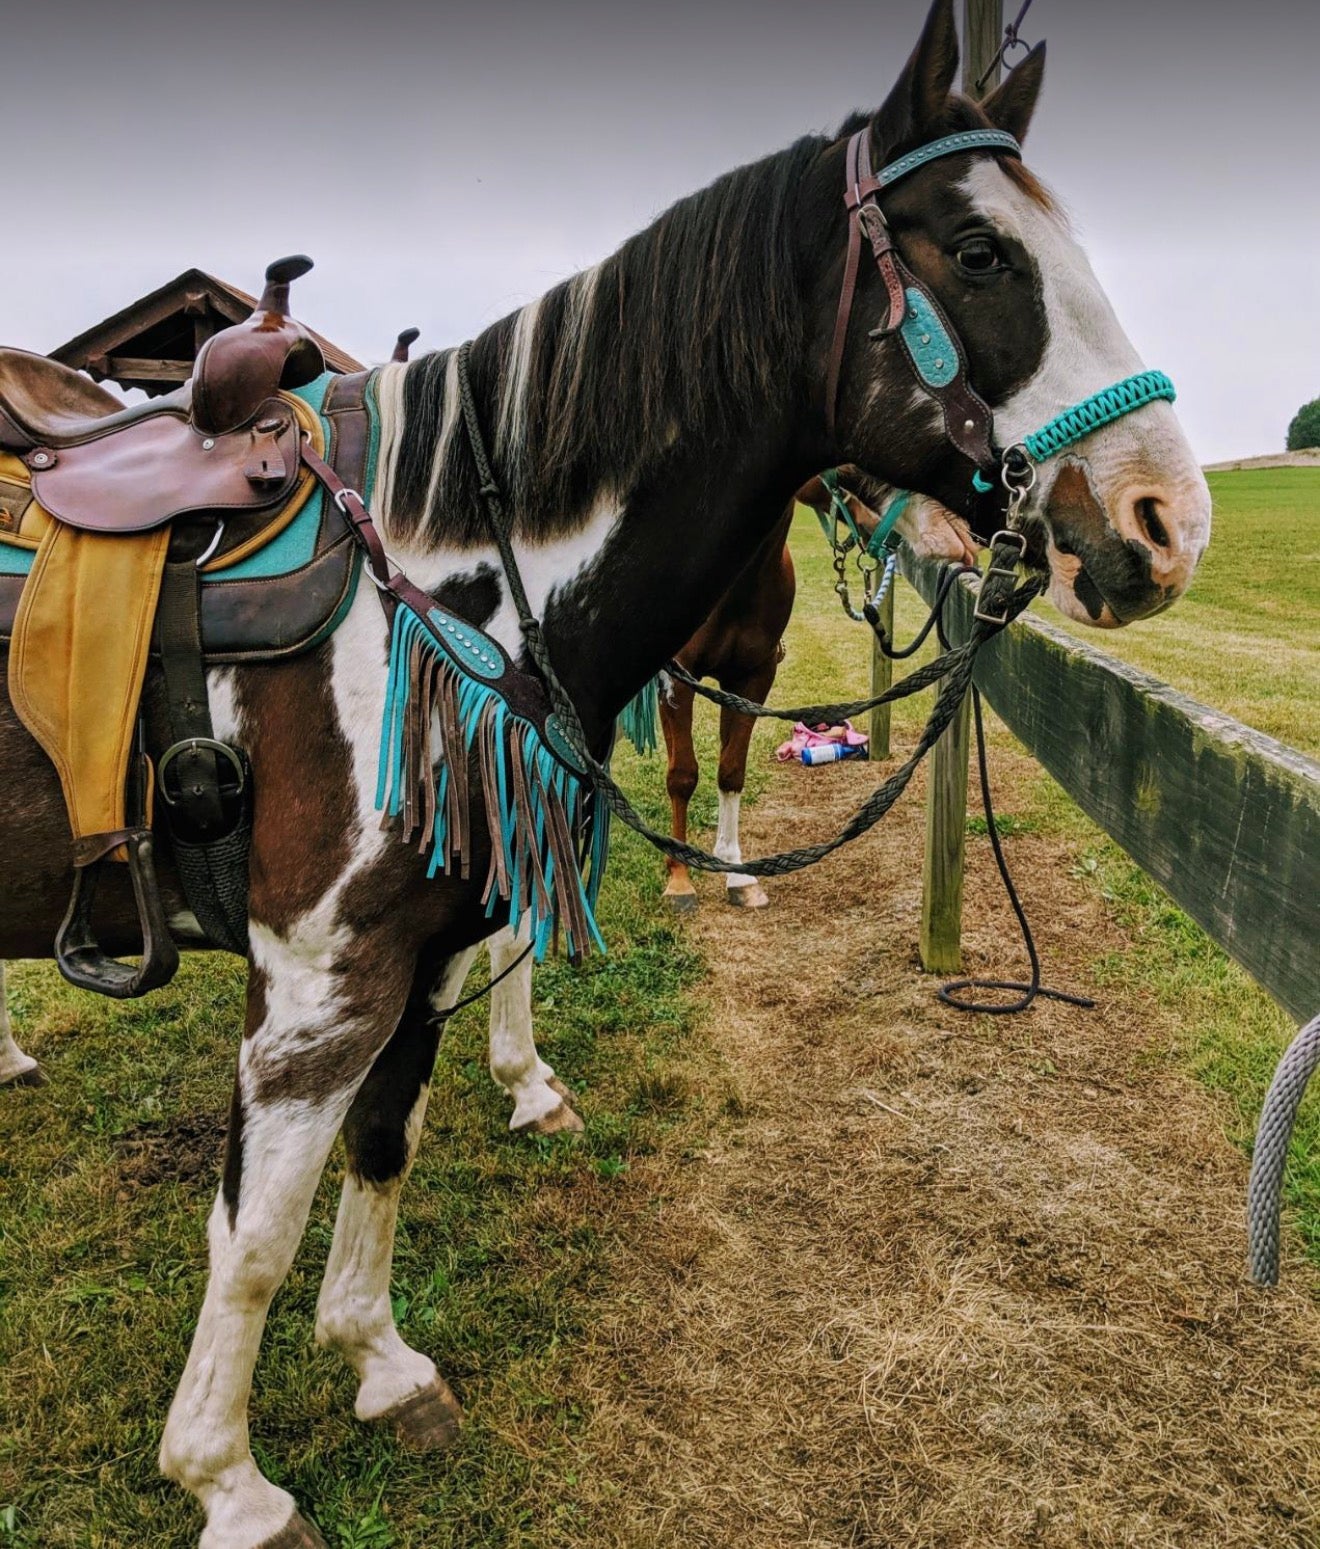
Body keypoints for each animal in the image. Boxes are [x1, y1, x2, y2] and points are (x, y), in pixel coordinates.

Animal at [0, 3, 1211, 1540]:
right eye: (982, 252)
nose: (1166, 521)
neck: (435, 584)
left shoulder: (424, 953)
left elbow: (387, 1140)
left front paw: (382, 1362)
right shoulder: (321, 987)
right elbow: (255, 1235)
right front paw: (230, 1482)